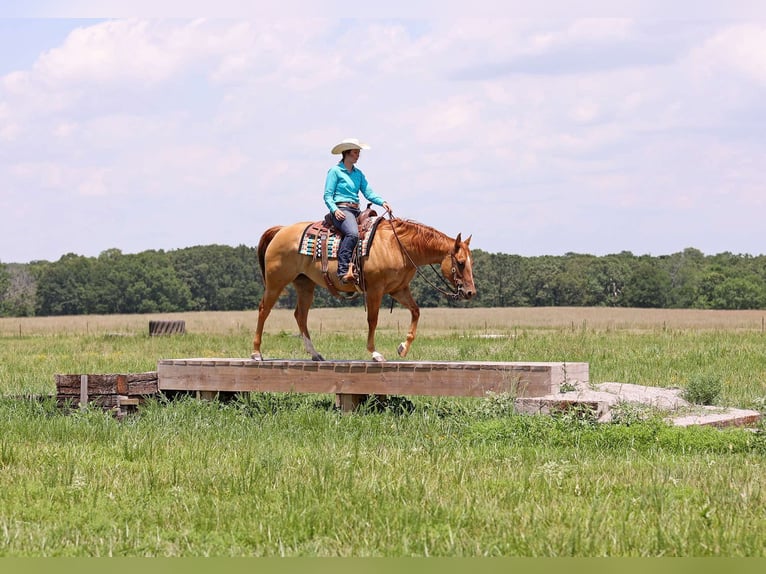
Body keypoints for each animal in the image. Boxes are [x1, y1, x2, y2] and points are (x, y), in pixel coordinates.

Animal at [252, 218, 476, 362]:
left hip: (305, 285)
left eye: (471, 262)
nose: (470, 293)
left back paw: (315, 354)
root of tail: (281, 230)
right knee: (264, 310)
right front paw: (375, 353)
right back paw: (256, 353)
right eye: (461, 263)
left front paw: (403, 348)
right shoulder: (375, 289)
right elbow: (373, 320)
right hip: (276, 282)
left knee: (300, 316)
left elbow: (416, 311)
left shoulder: (399, 289)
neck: (398, 247)